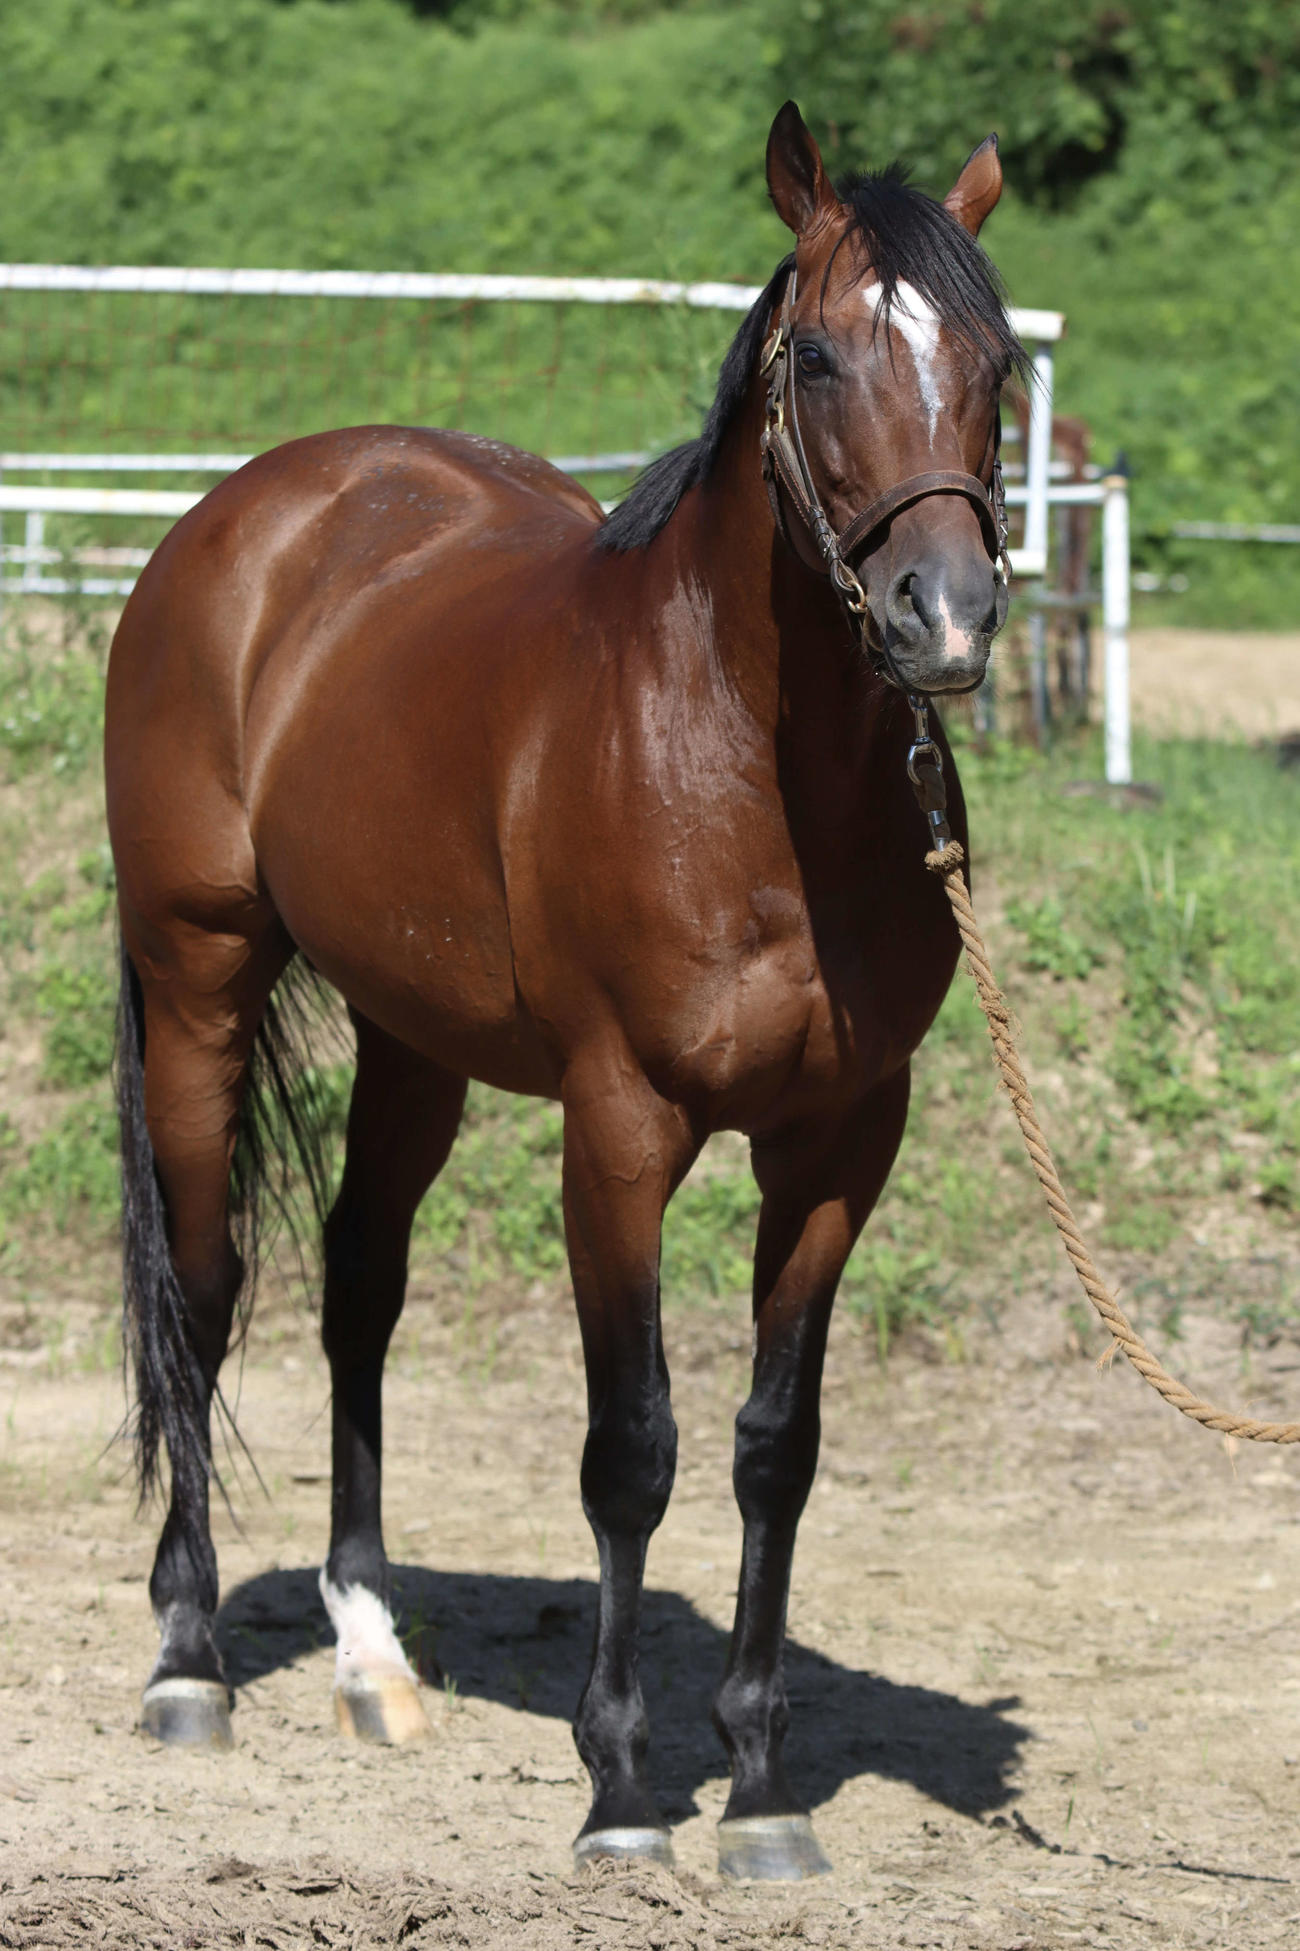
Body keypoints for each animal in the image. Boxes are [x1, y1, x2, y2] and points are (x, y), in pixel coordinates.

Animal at [104, 101, 1025, 1882]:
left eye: (998, 362)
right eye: (819, 356)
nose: (944, 622)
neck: (741, 761)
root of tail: (242, 519)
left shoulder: (840, 1141)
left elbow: (774, 1447)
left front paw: (761, 1785)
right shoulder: (619, 1128)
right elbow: (633, 1448)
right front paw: (622, 1790)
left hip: (413, 1037)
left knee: (359, 1285)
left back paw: (372, 1656)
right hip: (197, 978)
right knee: (203, 1285)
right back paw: (187, 1659)